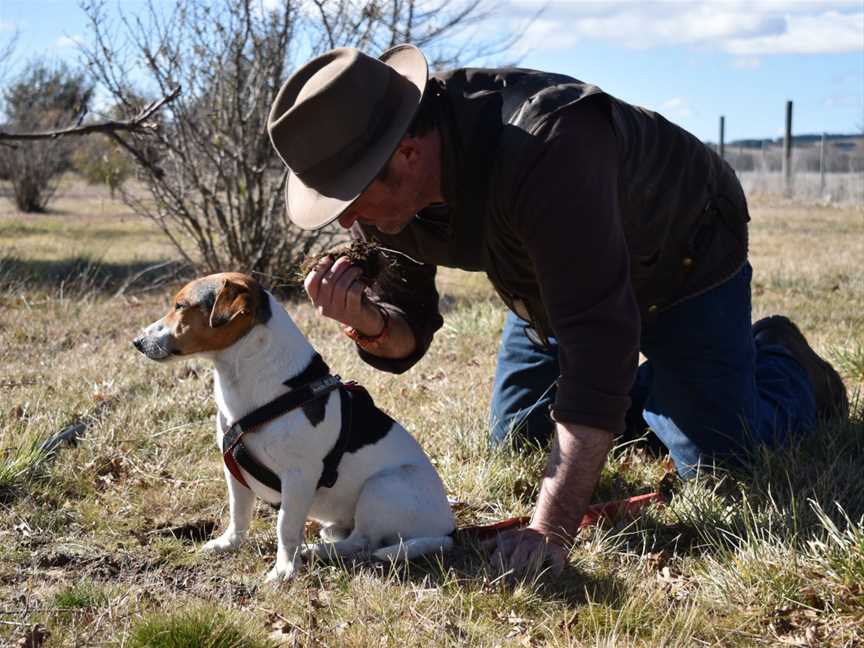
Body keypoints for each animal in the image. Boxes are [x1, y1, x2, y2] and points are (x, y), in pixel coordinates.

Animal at [132, 274, 456, 584]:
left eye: (180, 306)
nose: (136, 341)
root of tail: (448, 528)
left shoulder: (299, 476)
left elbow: (285, 526)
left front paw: (284, 569)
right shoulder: (234, 471)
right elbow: (238, 514)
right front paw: (229, 544)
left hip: (383, 486)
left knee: (362, 541)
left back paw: (319, 551)